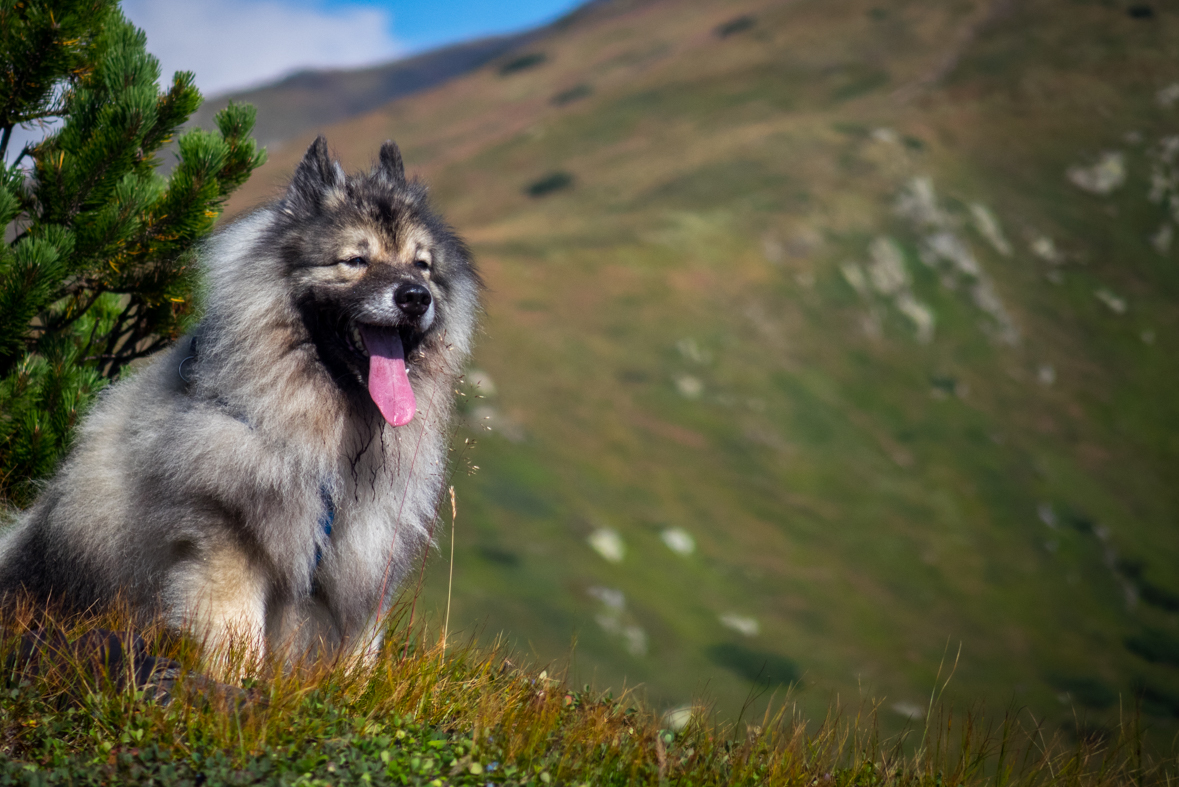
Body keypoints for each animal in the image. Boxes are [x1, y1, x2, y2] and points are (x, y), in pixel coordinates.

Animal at [0, 136, 483, 669]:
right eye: (355, 261)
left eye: (422, 265)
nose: (415, 297)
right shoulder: (226, 548)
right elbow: (238, 644)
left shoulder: (359, 569)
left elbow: (357, 660)